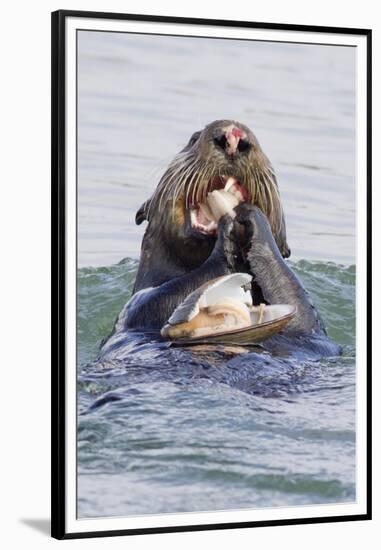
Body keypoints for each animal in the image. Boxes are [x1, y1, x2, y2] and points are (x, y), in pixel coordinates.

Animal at [106, 119, 338, 358]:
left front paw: (254, 218)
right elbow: (164, 297)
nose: (233, 137)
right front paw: (227, 228)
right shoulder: (136, 307)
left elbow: (300, 310)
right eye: (193, 139)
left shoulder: (312, 333)